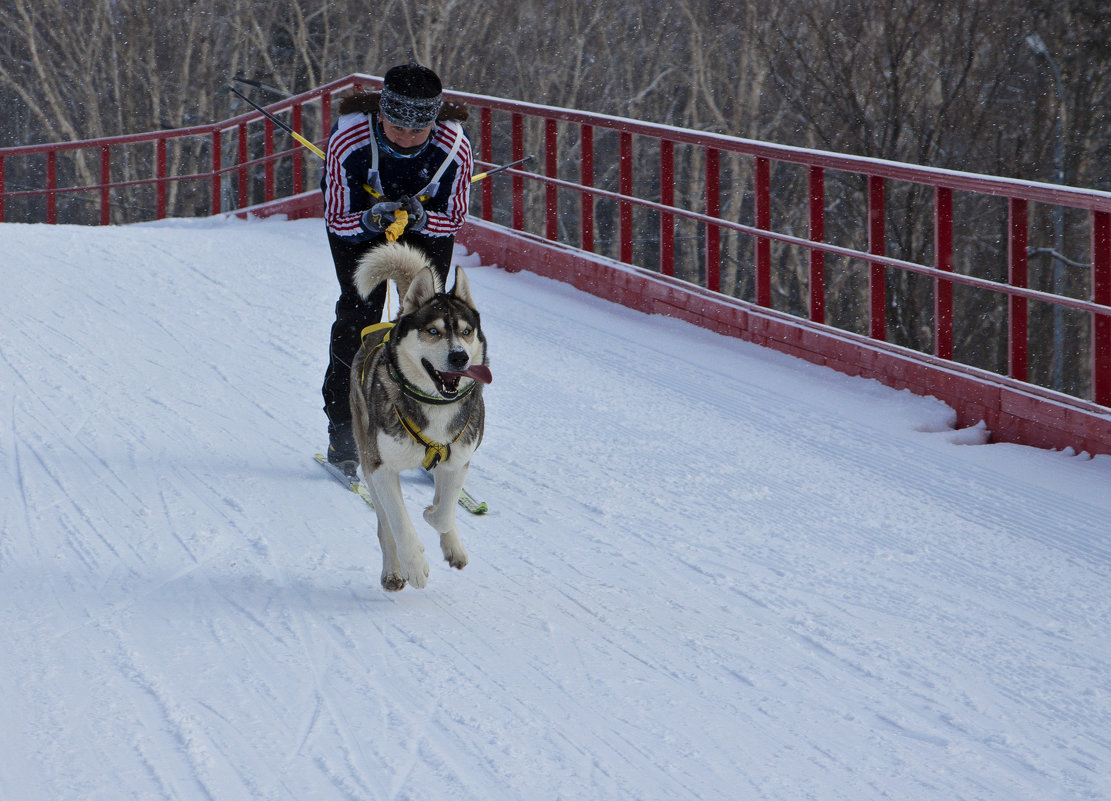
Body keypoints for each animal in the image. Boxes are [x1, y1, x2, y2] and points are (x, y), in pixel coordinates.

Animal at [344, 241, 488, 591]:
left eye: (466, 331)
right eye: (433, 331)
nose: (459, 357)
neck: (435, 404)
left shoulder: (458, 459)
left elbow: (444, 511)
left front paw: (435, 517)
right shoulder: (380, 467)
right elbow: (398, 521)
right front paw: (415, 564)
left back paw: (453, 545)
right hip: (366, 453)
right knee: (384, 525)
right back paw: (394, 571)